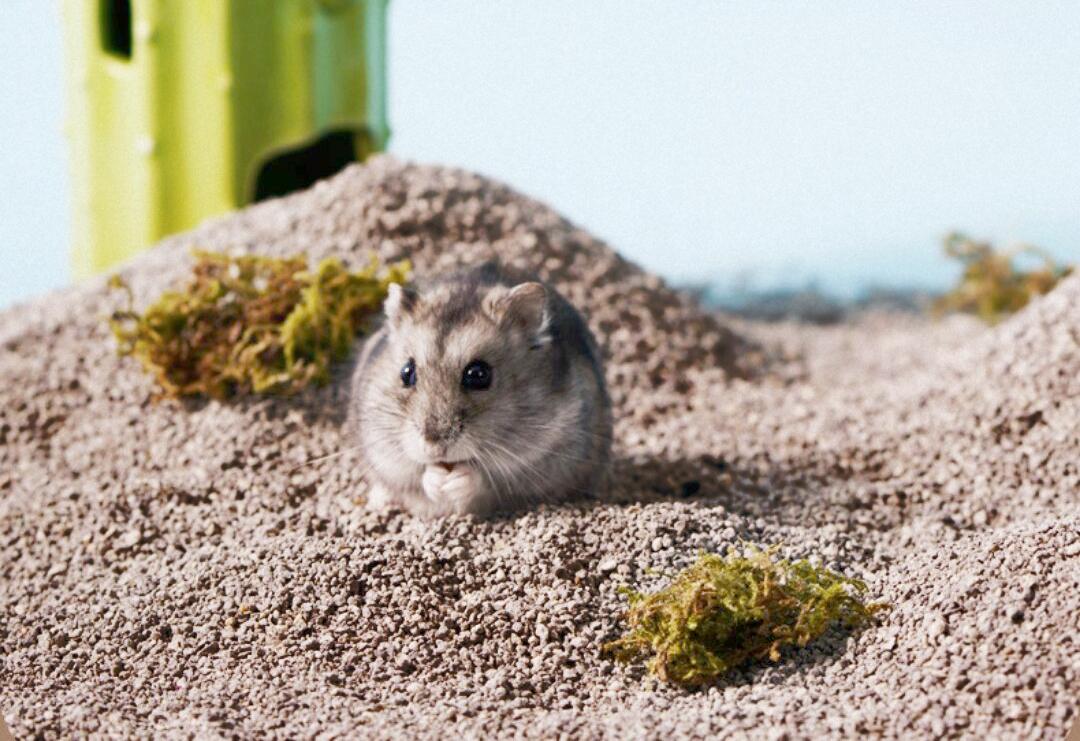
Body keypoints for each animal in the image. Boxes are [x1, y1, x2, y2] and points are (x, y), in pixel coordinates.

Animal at [349, 261, 612, 518]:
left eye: (478, 375)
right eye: (406, 372)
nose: (434, 445)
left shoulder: (545, 460)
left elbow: (487, 482)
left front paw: (455, 481)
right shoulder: (385, 454)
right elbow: (418, 476)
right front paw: (437, 480)